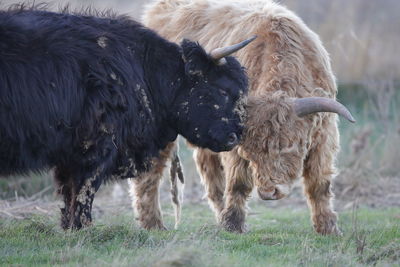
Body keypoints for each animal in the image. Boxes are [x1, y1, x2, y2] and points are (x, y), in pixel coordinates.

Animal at [0, 5, 255, 229]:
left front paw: (69, 227)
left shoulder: (69, 155)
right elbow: (83, 191)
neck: (144, 70)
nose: (235, 136)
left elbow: (68, 192)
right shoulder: (95, 148)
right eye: (223, 90)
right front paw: (83, 229)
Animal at [130, 0, 354, 234]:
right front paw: (233, 225)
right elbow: (238, 182)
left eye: (287, 146)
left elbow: (319, 183)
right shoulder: (233, 142)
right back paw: (153, 224)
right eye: (250, 154)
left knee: (211, 178)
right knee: (150, 174)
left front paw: (328, 227)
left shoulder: (325, 134)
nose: (268, 193)